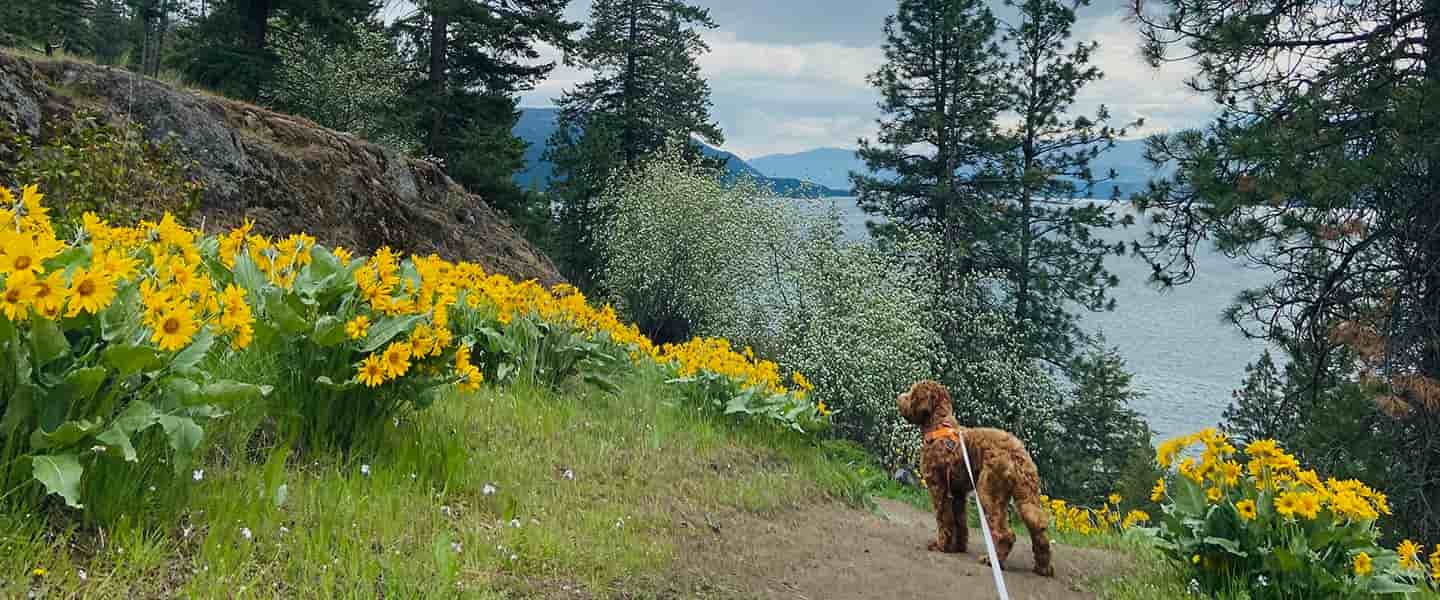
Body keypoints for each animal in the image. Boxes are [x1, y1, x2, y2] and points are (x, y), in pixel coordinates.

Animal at [892, 379, 1054, 575]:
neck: (938, 425)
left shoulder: (938, 487)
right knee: (1039, 532)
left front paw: (941, 546)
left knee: (1005, 534)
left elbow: (944, 519)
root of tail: (1018, 454)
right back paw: (1042, 568)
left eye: (912, 393)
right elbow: (959, 521)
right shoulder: (957, 492)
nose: (899, 398)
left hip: (989, 490)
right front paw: (958, 547)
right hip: (1025, 495)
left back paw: (993, 560)